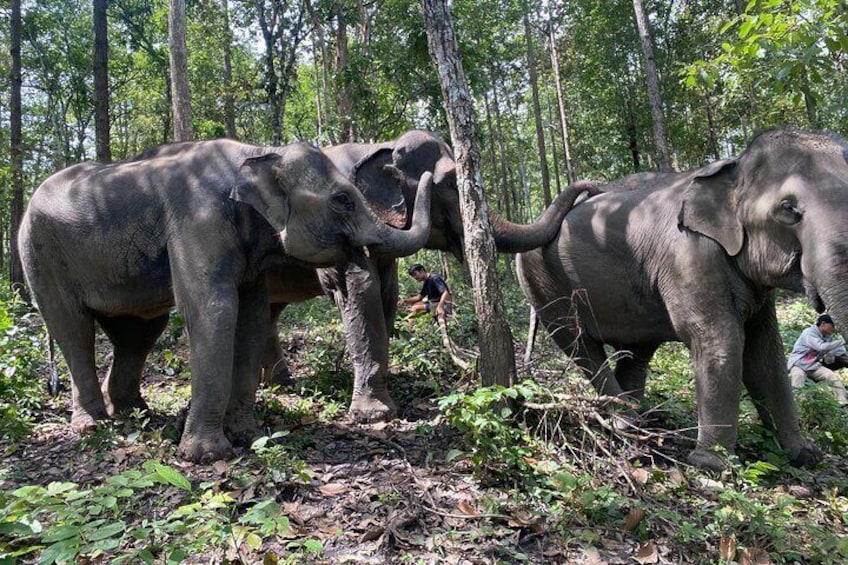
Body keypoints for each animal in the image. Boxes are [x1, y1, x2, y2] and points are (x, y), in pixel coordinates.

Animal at [18, 139, 430, 460]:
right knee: (73, 331)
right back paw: (93, 426)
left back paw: (136, 413)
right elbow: (215, 311)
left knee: (138, 335)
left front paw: (248, 435)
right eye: (342, 199)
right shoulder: (198, 224)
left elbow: (251, 318)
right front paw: (207, 455)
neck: (260, 153)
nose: (416, 172)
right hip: (39, 258)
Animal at [262, 128, 600, 418]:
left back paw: (281, 385)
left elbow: (387, 292)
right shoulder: (338, 222)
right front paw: (374, 414)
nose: (593, 187)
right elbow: (360, 289)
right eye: (450, 183)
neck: (379, 147)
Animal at [512, 130, 844, 470]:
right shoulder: (688, 257)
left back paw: (641, 419)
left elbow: (764, 350)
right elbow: (721, 340)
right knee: (581, 347)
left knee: (636, 353)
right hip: (544, 285)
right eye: (788, 209)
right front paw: (710, 464)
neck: (733, 167)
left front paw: (805, 454)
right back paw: (627, 421)